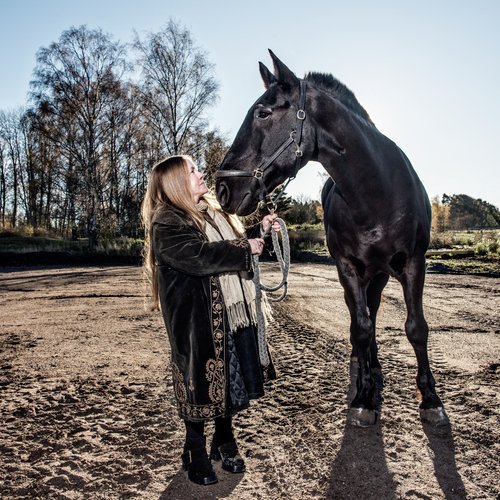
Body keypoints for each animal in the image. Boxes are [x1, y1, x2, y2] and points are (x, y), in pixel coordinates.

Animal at [215, 49, 450, 426]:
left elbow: (416, 327)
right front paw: (365, 398)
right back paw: (366, 370)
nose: (223, 187)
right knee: (362, 318)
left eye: (263, 112)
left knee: (373, 310)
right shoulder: (348, 268)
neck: (377, 192)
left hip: (381, 274)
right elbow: (361, 328)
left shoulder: (415, 263)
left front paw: (430, 399)